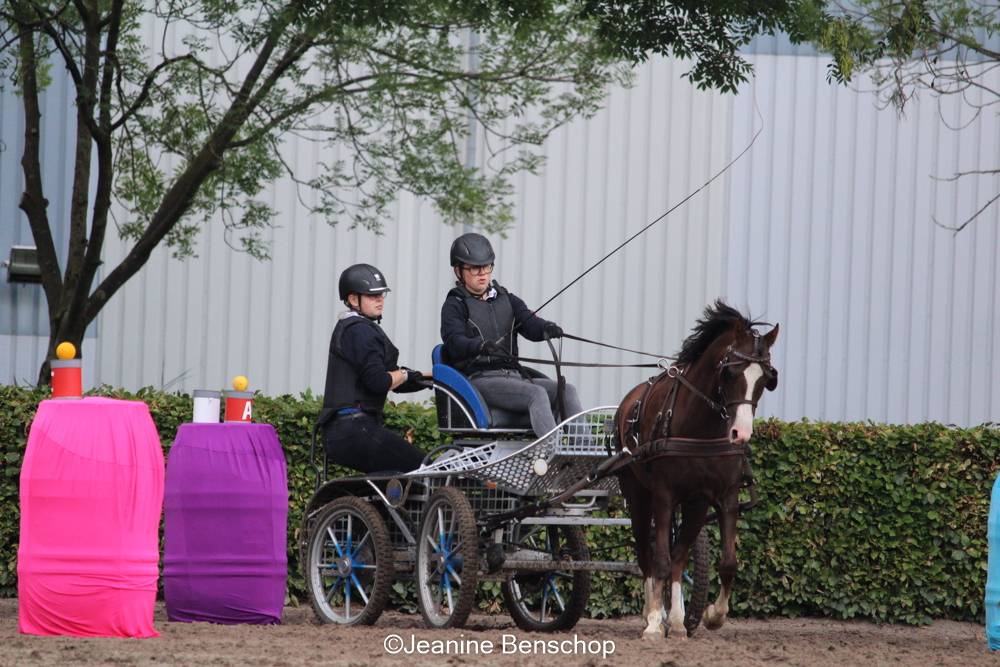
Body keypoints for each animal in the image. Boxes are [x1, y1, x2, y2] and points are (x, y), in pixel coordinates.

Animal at [614, 300, 778, 640]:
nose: (741, 434)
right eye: (732, 373)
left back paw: (676, 620)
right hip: (638, 497)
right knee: (646, 554)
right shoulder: (664, 496)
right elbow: (660, 561)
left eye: (766, 378)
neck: (700, 428)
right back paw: (650, 612)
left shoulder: (721, 498)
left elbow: (725, 562)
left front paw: (712, 615)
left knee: (679, 556)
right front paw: (654, 622)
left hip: (692, 505)